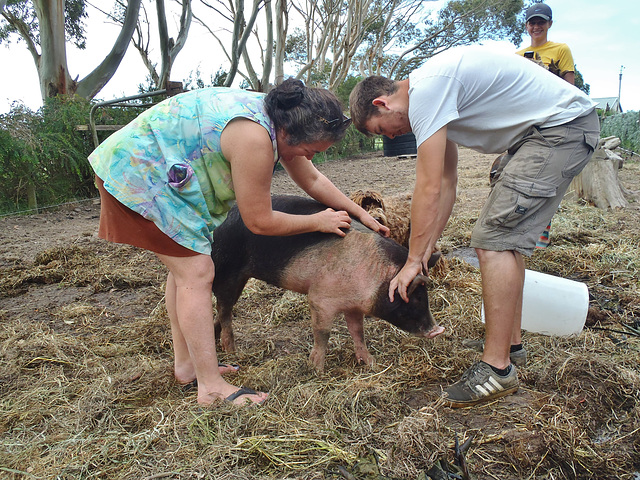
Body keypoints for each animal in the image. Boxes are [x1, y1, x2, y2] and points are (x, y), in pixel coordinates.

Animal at [212, 194, 442, 372]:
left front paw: (370, 363)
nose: (437, 330)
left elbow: (358, 331)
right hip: (226, 270)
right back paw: (231, 351)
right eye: (413, 296)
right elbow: (322, 333)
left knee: (224, 308)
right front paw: (317, 369)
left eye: (425, 294)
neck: (372, 275)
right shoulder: (319, 298)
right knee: (224, 308)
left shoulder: (353, 305)